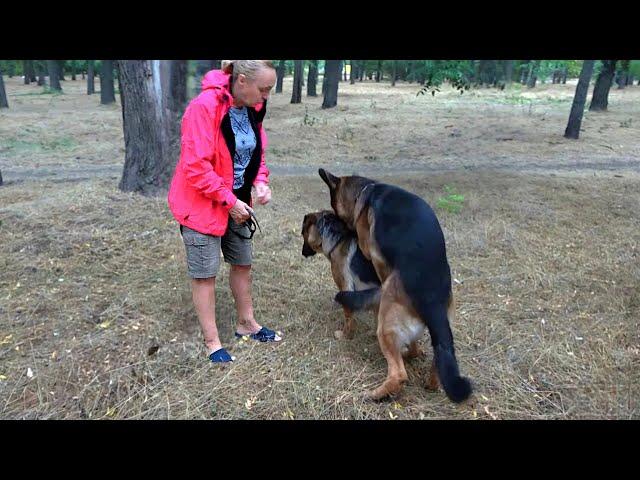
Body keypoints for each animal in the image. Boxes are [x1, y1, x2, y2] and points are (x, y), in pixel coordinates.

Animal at [300, 211, 380, 342]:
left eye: (302, 234)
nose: (302, 253)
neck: (338, 241)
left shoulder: (345, 288)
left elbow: (349, 317)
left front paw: (345, 335)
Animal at [318, 167, 472, 404]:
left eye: (334, 209)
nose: (335, 227)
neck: (367, 190)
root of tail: (432, 300)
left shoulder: (375, 255)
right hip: (442, 328)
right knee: (434, 355)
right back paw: (427, 378)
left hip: (387, 326)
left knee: (399, 373)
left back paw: (377, 393)